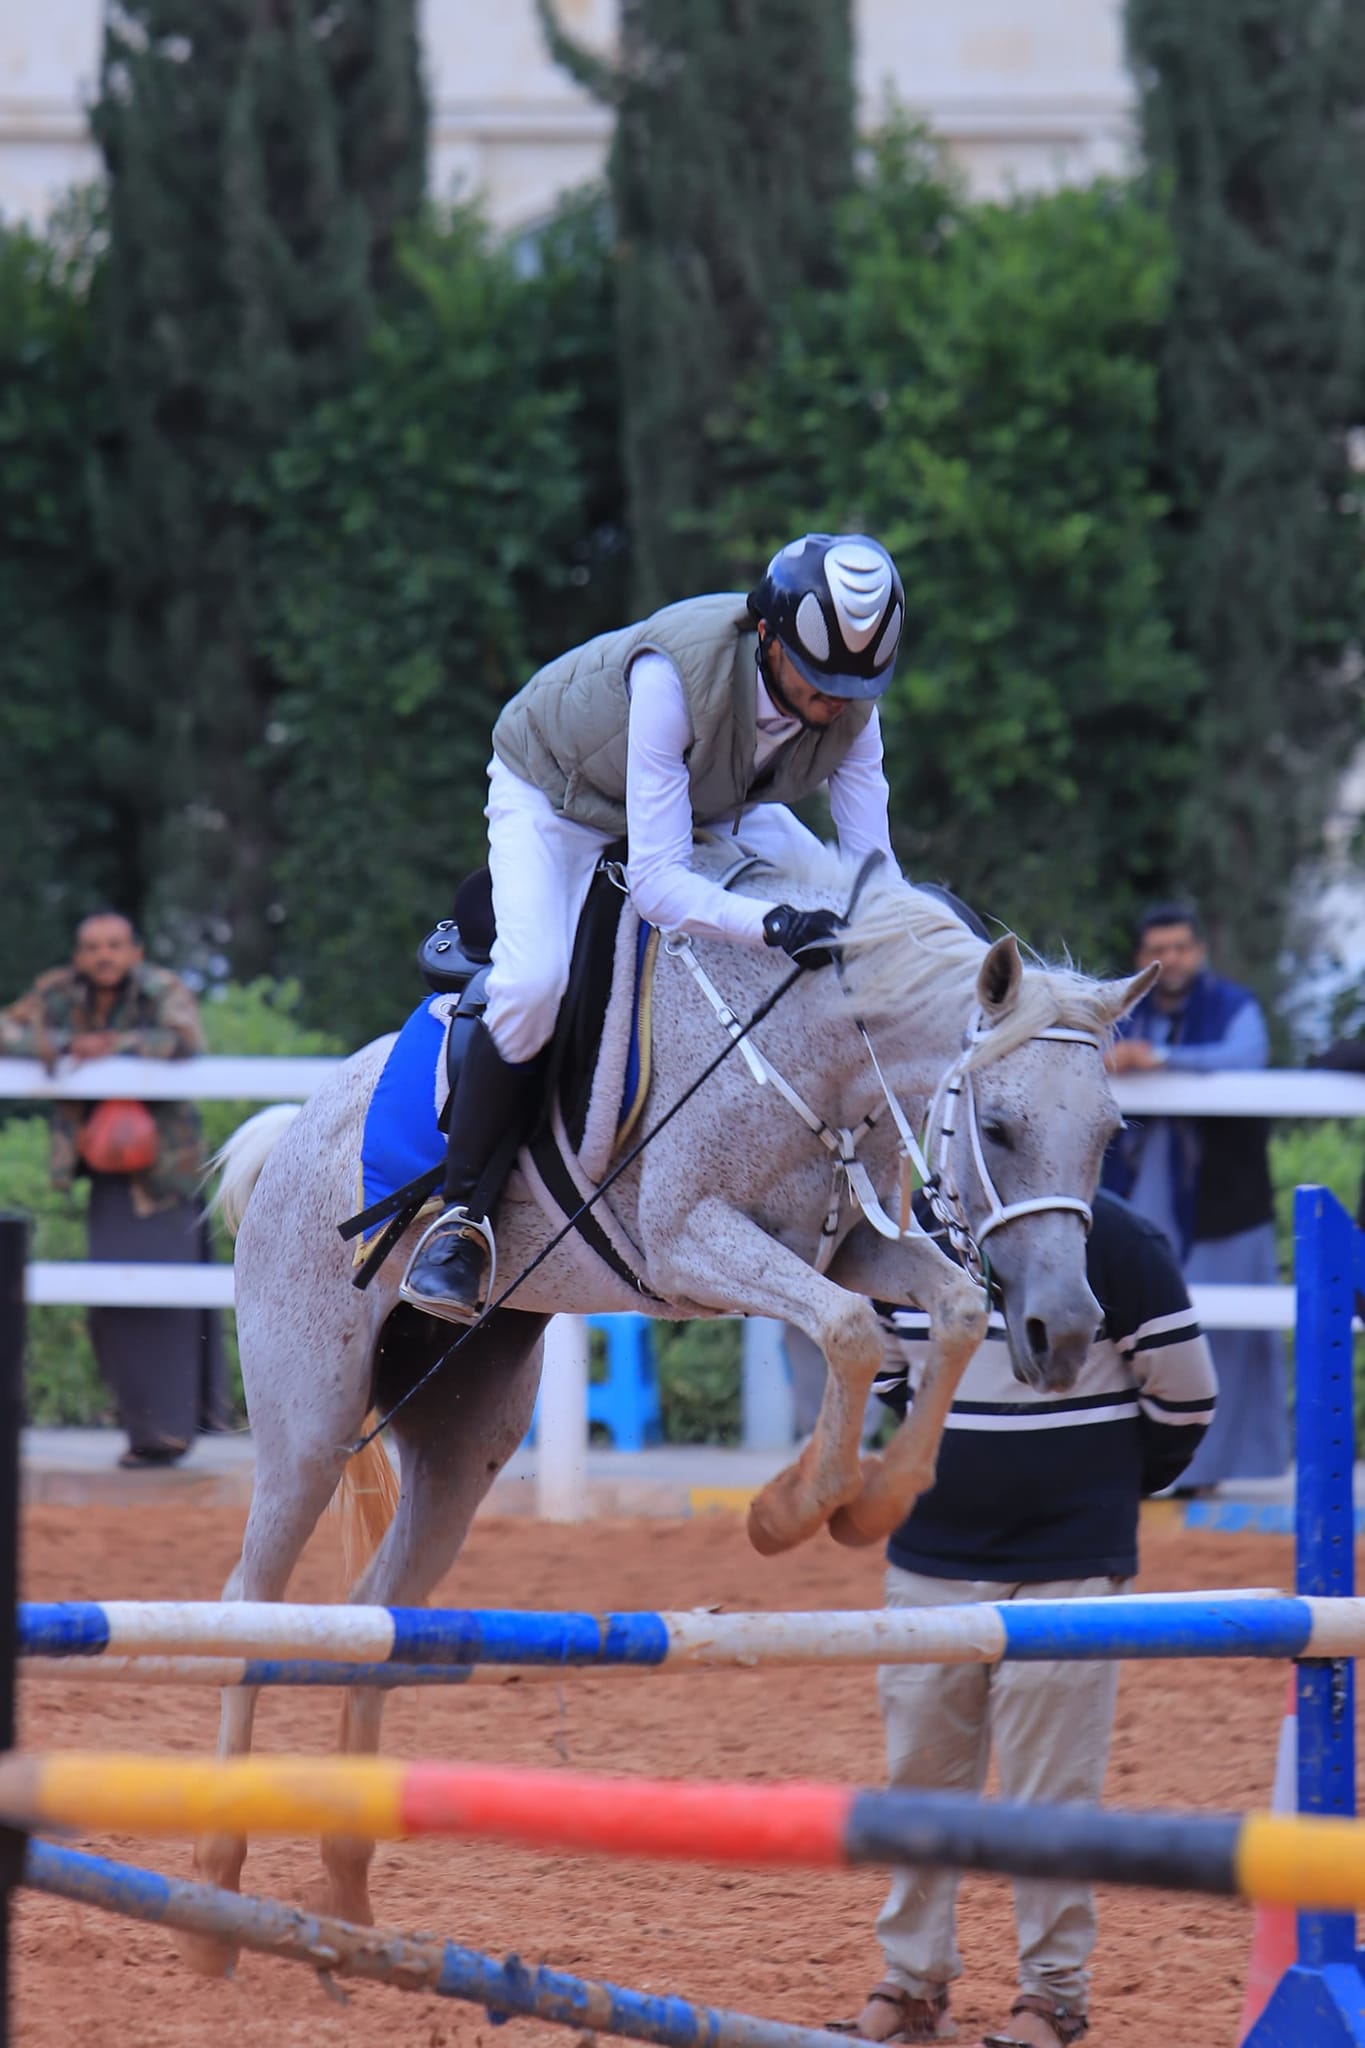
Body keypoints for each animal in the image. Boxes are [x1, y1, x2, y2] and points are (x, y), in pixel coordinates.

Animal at [192, 851, 1154, 1966]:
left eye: (1111, 1131)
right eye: (996, 1126)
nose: (1065, 1330)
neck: (818, 1046)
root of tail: (289, 1135)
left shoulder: (849, 1247)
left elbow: (945, 1310)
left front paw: (865, 1500)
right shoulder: (693, 1239)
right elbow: (851, 1333)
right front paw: (792, 1509)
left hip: (461, 1449)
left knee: (374, 1615)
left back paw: (347, 1892)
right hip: (308, 1429)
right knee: (249, 1607)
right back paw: (216, 1891)